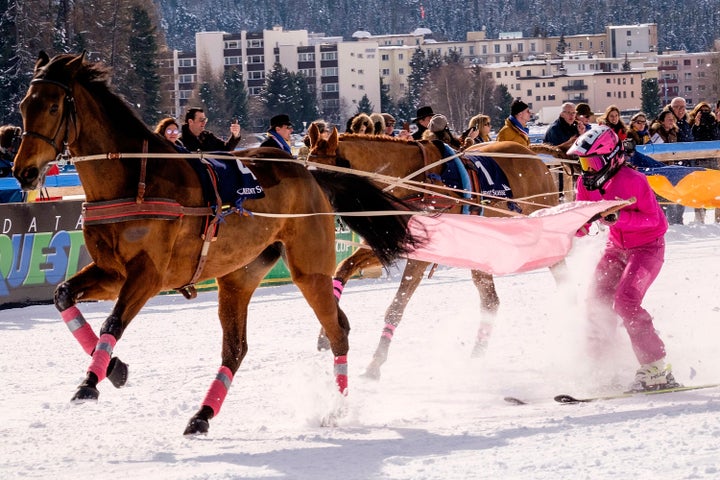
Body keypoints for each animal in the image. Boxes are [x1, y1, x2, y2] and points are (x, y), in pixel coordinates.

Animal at [12, 52, 422, 436]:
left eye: (52, 106)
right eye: (24, 105)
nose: (24, 171)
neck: (136, 179)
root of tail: (308, 172)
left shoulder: (148, 275)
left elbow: (113, 321)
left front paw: (89, 382)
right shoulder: (113, 272)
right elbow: (63, 295)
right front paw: (114, 369)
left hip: (309, 269)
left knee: (338, 330)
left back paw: (336, 407)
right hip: (239, 276)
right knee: (236, 348)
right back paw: (202, 415)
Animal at [306, 129, 564, 380]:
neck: (413, 183)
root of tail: (536, 159)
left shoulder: (421, 255)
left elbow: (396, 308)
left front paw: (375, 363)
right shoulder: (389, 242)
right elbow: (343, 269)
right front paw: (327, 333)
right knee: (490, 301)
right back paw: (476, 356)